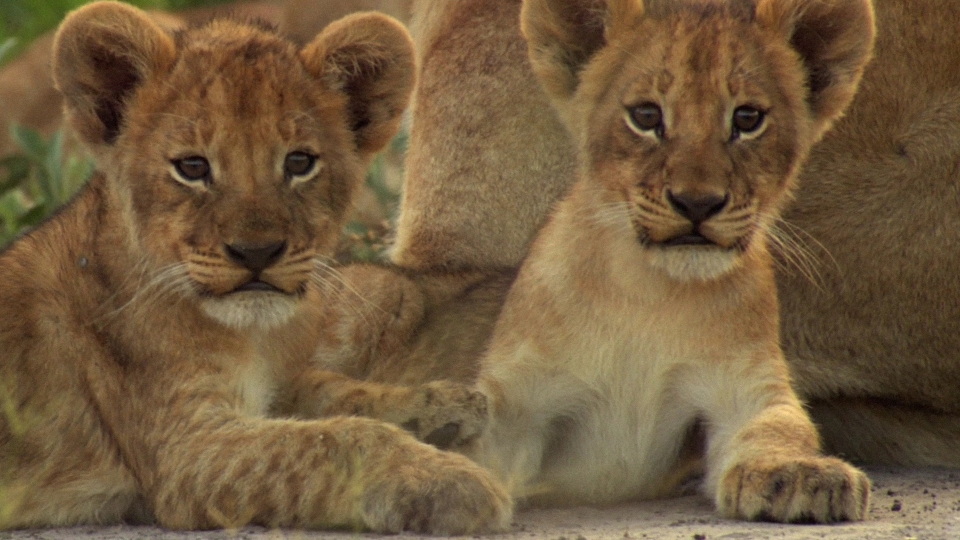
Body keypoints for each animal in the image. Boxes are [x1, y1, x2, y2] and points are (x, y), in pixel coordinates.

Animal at [0, 1, 511, 532]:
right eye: (192, 167)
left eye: (300, 162)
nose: (256, 253)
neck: (253, 336)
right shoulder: (187, 452)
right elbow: (333, 441)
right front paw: (451, 480)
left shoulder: (276, 387)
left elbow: (332, 391)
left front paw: (442, 404)